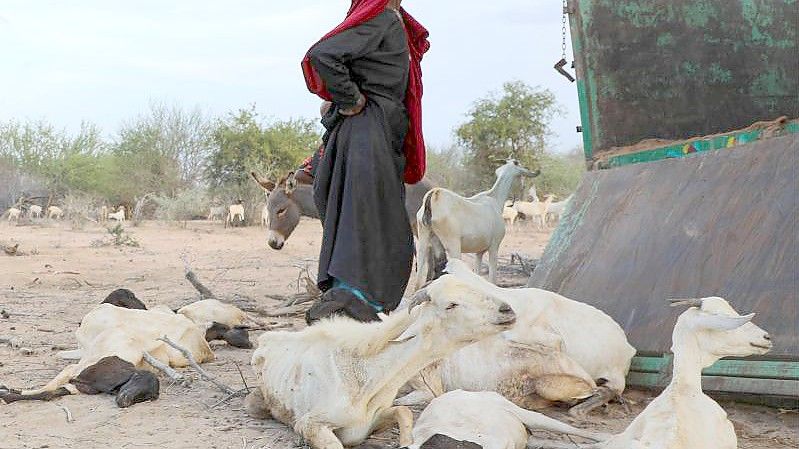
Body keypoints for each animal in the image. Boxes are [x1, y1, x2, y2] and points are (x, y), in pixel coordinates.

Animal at [248, 272, 520, 448]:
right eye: (451, 305)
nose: (507, 310)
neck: (367, 374)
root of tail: (266, 339)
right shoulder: (311, 424)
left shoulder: (375, 419)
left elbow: (404, 413)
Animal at [416, 158, 540, 286]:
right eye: (519, 166)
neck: (495, 199)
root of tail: (434, 195)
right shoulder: (494, 247)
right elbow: (492, 279)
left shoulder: (479, 252)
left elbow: (477, 273)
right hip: (453, 245)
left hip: (423, 240)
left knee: (418, 278)